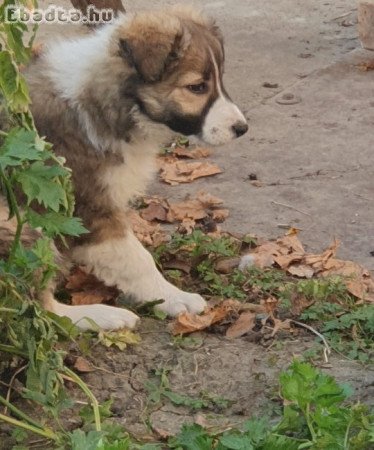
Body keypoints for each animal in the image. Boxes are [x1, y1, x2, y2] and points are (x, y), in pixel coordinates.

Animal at [19, 6, 248, 330]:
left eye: (219, 81)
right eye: (196, 87)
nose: (242, 128)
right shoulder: (89, 208)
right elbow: (137, 259)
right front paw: (174, 297)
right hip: (26, 228)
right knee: (40, 310)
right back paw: (103, 316)